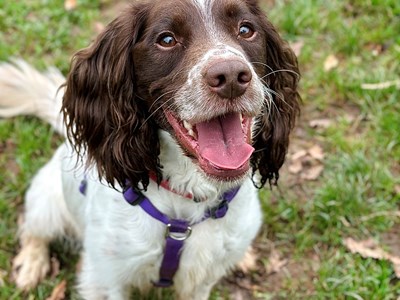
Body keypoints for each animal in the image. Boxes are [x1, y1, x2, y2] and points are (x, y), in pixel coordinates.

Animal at [0, 1, 300, 298]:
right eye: (166, 39)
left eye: (246, 29)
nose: (231, 76)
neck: (187, 199)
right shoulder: (105, 277)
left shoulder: (201, 279)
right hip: (45, 201)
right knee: (33, 231)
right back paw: (31, 265)